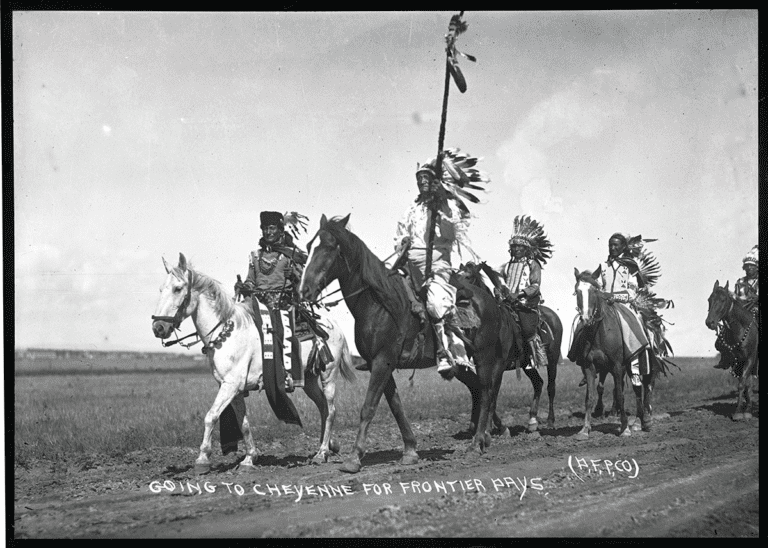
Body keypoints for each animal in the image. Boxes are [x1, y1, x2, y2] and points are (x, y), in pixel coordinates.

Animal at [152, 253, 356, 470]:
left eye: (178, 288)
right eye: (161, 289)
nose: (158, 327)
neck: (226, 331)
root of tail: (334, 325)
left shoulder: (231, 385)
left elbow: (210, 416)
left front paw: (202, 458)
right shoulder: (233, 389)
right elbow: (243, 422)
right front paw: (250, 458)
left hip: (328, 375)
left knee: (331, 410)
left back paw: (322, 452)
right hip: (308, 379)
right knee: (323, 408)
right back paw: (328, 446)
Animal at [300, 214, 516, 470]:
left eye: (328, 247)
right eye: (309, 246)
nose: (304, 290)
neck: (380, 304)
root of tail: (491, 301)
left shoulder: (382, 361)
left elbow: (368, 407)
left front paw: (354, 457)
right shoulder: (379, 364)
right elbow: (396, 406)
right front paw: (411, 451)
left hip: (485, 356)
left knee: (486, 391)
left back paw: (477, 444)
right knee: (480, 390)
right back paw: (483, 438)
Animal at [568, 268, 656, 438]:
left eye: (594, 291)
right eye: (577, 291)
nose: (586, 318)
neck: (599, 333)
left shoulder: (617, 366)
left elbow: (621, 395)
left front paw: (624, 428)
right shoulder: (590, 367)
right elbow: (590, 397)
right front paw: (585, 429)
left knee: (642, 387)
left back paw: (643, 421)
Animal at [704, 280, 760, 422]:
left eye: (723, 299)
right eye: (709, 299)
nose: (710, 322)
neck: (740, 329)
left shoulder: (750, 358)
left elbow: (742, 384)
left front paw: (739, 412)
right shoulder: (739, 362)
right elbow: (745, 385)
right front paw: (746, 410)